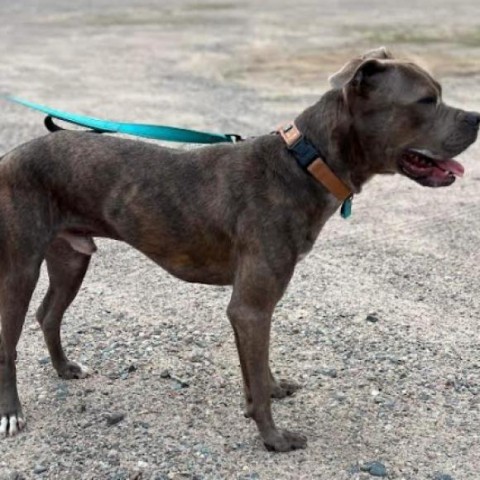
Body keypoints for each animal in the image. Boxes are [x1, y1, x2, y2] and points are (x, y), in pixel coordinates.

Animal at [0, 47, 478, 450]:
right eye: (426, 100)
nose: (477, 117)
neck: (305, 163)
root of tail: (9, 156)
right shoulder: (251, 306)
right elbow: (258, 379)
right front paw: (275, 440)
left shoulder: (251, 307)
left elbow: (258, 373)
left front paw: (268, 394)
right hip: (20, 268)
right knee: (9, 341)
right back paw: (12, 413)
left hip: (72, 258)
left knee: (48, 315)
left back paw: (64, 369)